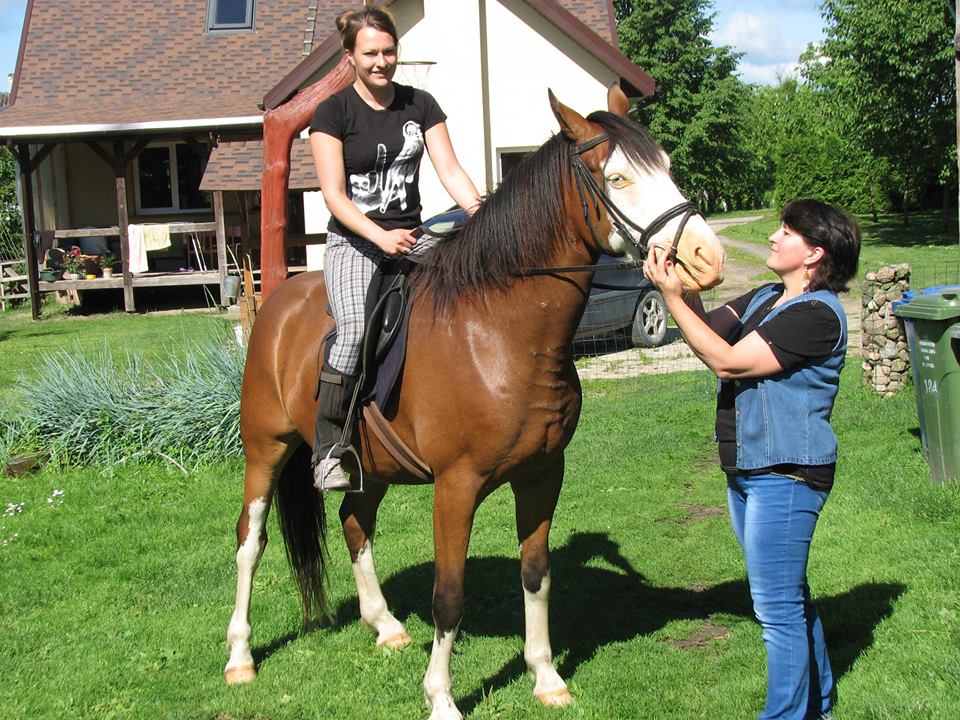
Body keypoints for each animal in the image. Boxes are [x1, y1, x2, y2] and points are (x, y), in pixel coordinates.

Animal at [224, 86, 726, 720]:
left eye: (667, 166)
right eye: (616, 177)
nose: (708, 257)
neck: (499, 332)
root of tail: (277, 300)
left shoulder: (543, 474)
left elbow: (536, 574)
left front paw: (546, 676)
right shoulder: (455, 488)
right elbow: (449, 593)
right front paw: (441, 697)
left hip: (370, 466)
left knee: (354, 523)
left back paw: (385, 625)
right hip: (265, 450)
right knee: (251, 540)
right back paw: (240, 656)